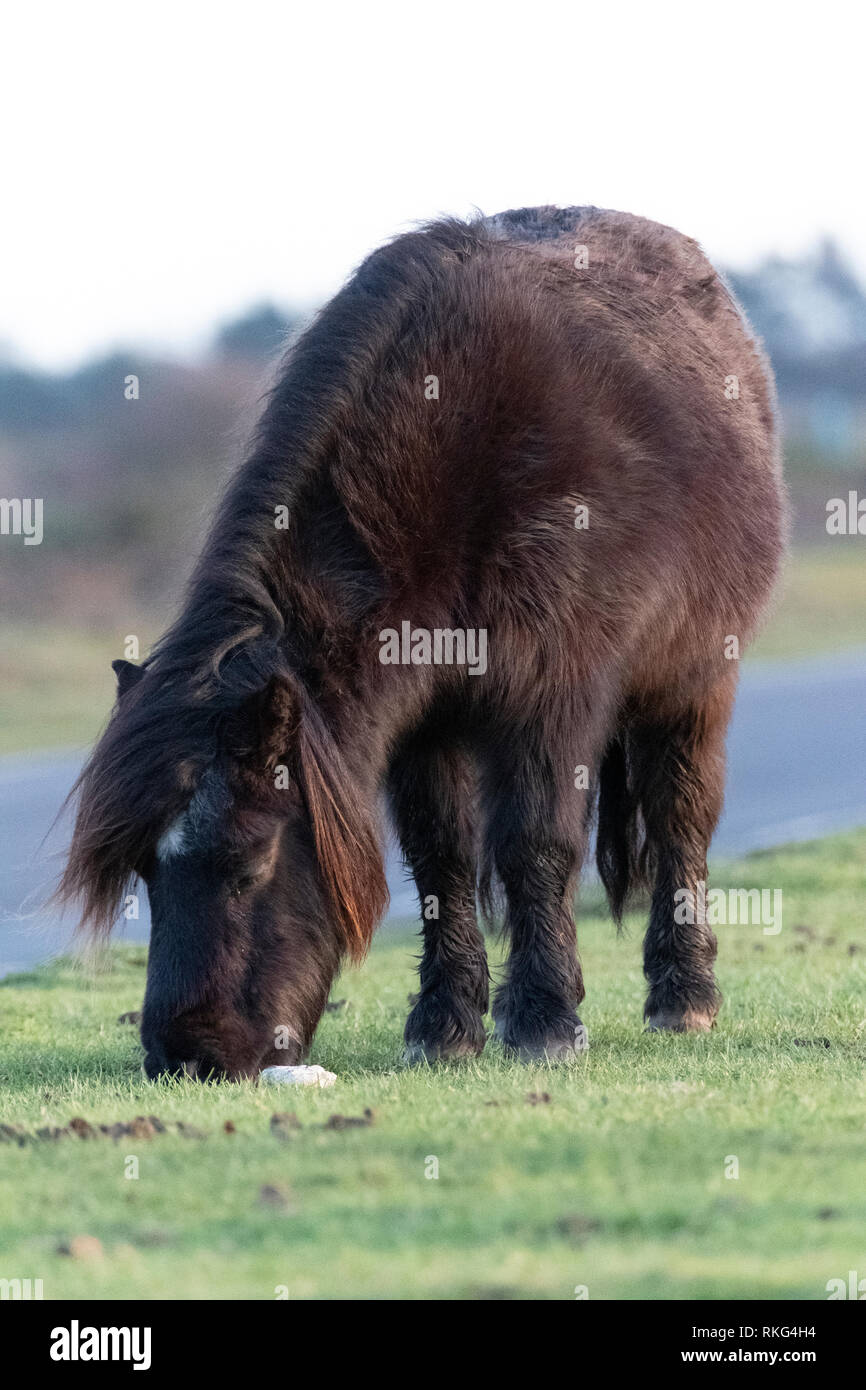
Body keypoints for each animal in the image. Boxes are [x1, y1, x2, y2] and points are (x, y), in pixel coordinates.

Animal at [60, 205, 786, 1078]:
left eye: (249, 863)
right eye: (146, 871)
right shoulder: (422, 722)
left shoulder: (554, 697)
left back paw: (685, 997)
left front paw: (544, 1020)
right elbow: (441, 857)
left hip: (693, 687)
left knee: (682, 817)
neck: (459, 460)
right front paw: (445, 1025)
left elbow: (535, 842)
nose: (188, 1056)